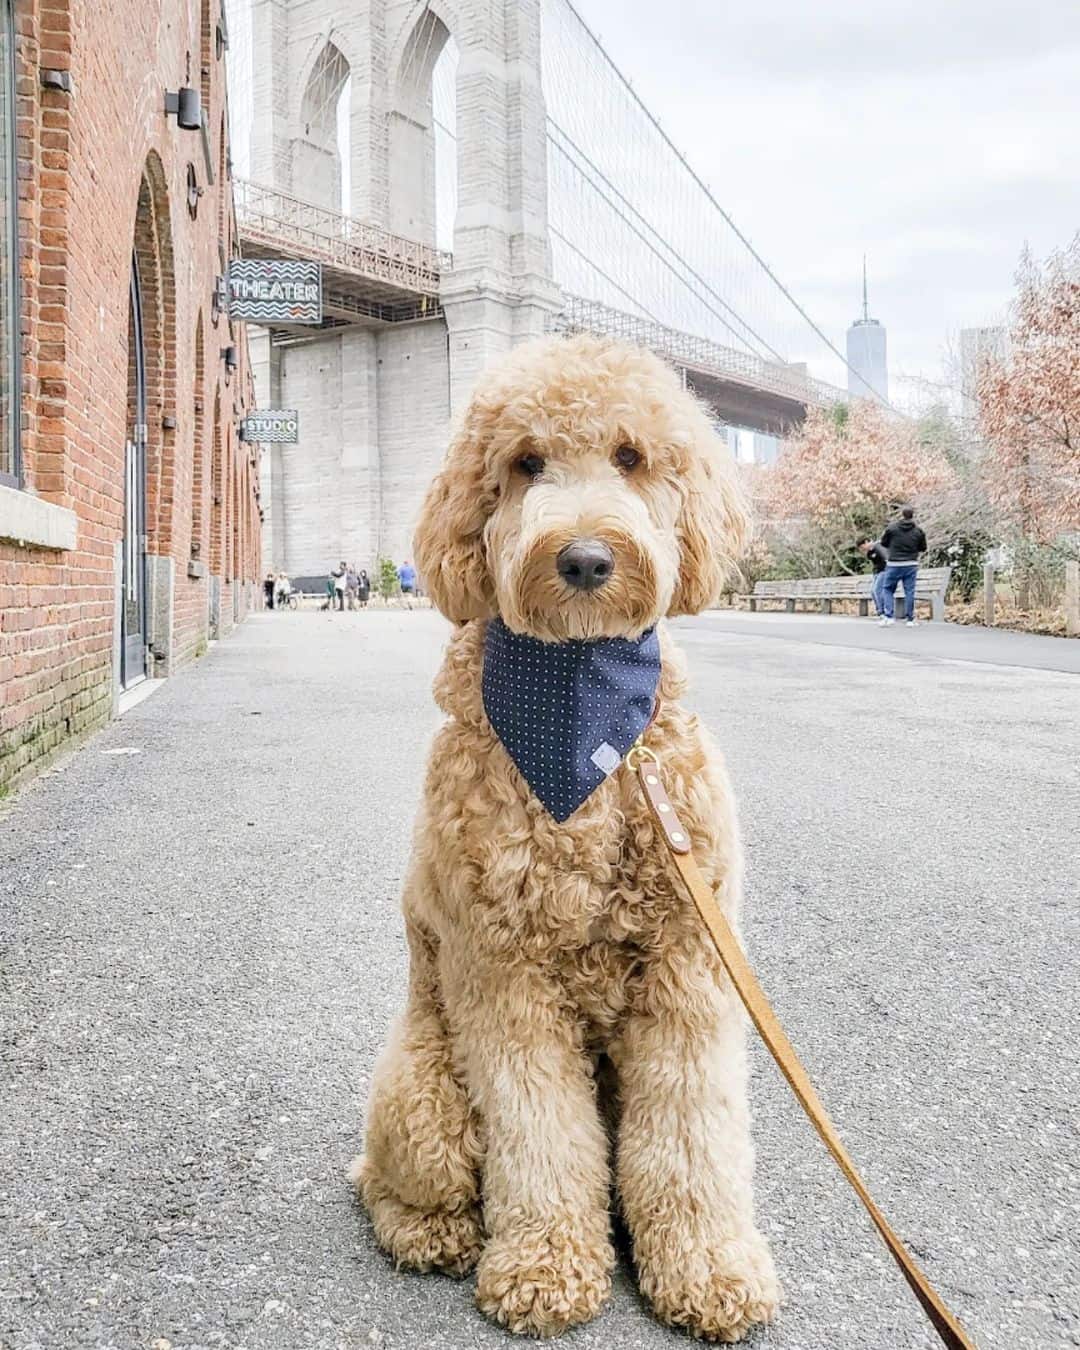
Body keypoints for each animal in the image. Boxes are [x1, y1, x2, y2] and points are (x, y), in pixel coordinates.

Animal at [351, 334, 783, 1339]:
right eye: (524, 464)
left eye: (631, 456)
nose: (585, 558)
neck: (583, 712)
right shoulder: (504, 974)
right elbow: (539, 1133)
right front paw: (545, 1268)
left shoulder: (689, 965)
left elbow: (691, 1133)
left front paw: (708, 1268)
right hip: (424, 1090)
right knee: (391, 1185)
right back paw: (438, 1235)